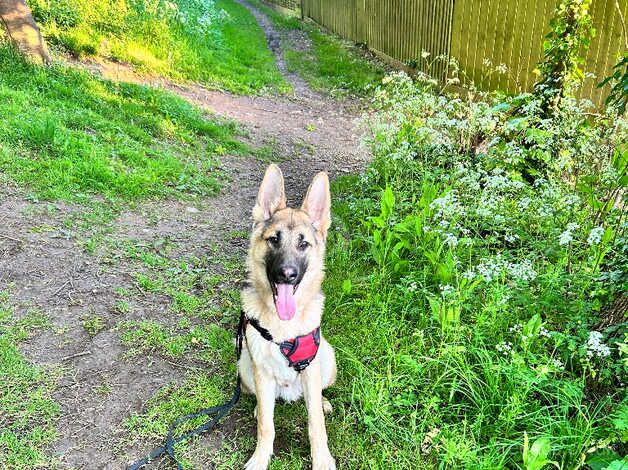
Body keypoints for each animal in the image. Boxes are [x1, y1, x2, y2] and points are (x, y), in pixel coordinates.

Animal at [239, 165, 336, 470]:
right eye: (274, 239)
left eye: (303, 244)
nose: (287, 274)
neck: (283, 329)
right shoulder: (260, 369)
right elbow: (267, 425)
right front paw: (260, 458)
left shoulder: (310, 368)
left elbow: (316, 423)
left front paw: (322, 459)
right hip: (244, 363)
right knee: (263, 404)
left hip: (327, 358)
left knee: (316, 398)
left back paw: (323, 402)